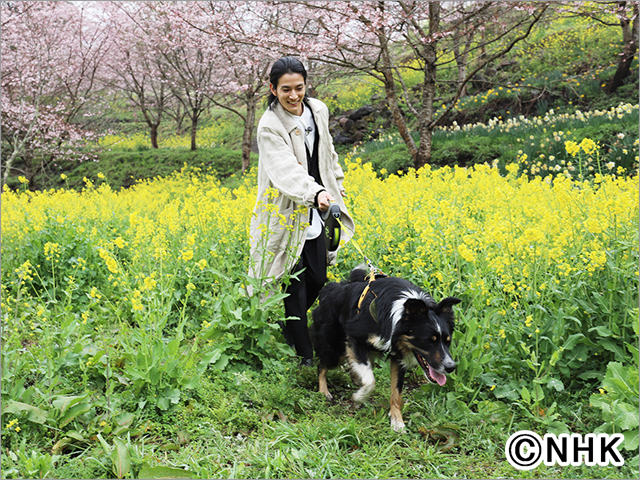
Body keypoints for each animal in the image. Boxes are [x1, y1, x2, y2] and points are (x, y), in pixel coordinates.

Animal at [310, 268, 460, 434]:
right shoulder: (356, 338)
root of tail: (330, 289)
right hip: (335, 348)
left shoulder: (398, 356)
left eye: (448, 341)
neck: (398, 314)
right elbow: (371, 381)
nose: (451, 367)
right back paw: (324, 392)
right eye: (428, 341)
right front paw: (359, 397)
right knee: (322, 365)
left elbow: (396, 392)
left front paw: (397, 421)